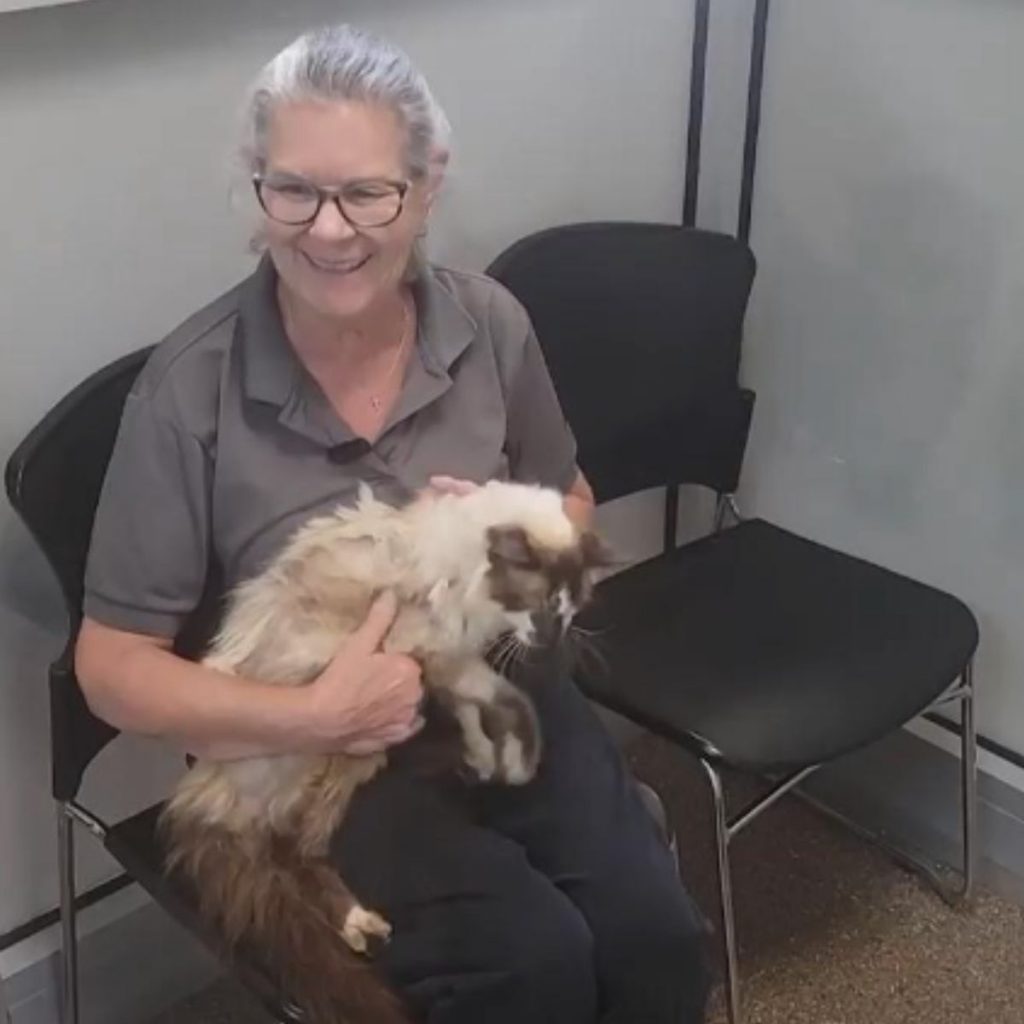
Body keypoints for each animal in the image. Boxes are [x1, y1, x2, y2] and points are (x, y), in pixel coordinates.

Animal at [157, 479, 606, 1024]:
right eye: (538, 604)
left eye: (569, 607)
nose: (548, 642)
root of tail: (209, 793)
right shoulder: (433, 653)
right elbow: (511, 703)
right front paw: (517, 765)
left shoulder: (450, 663)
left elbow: (473, 715)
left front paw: (485, 760)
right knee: (295, 852)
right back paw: (360, 924)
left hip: (356, 762)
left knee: (300, 851)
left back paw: (360, 925)